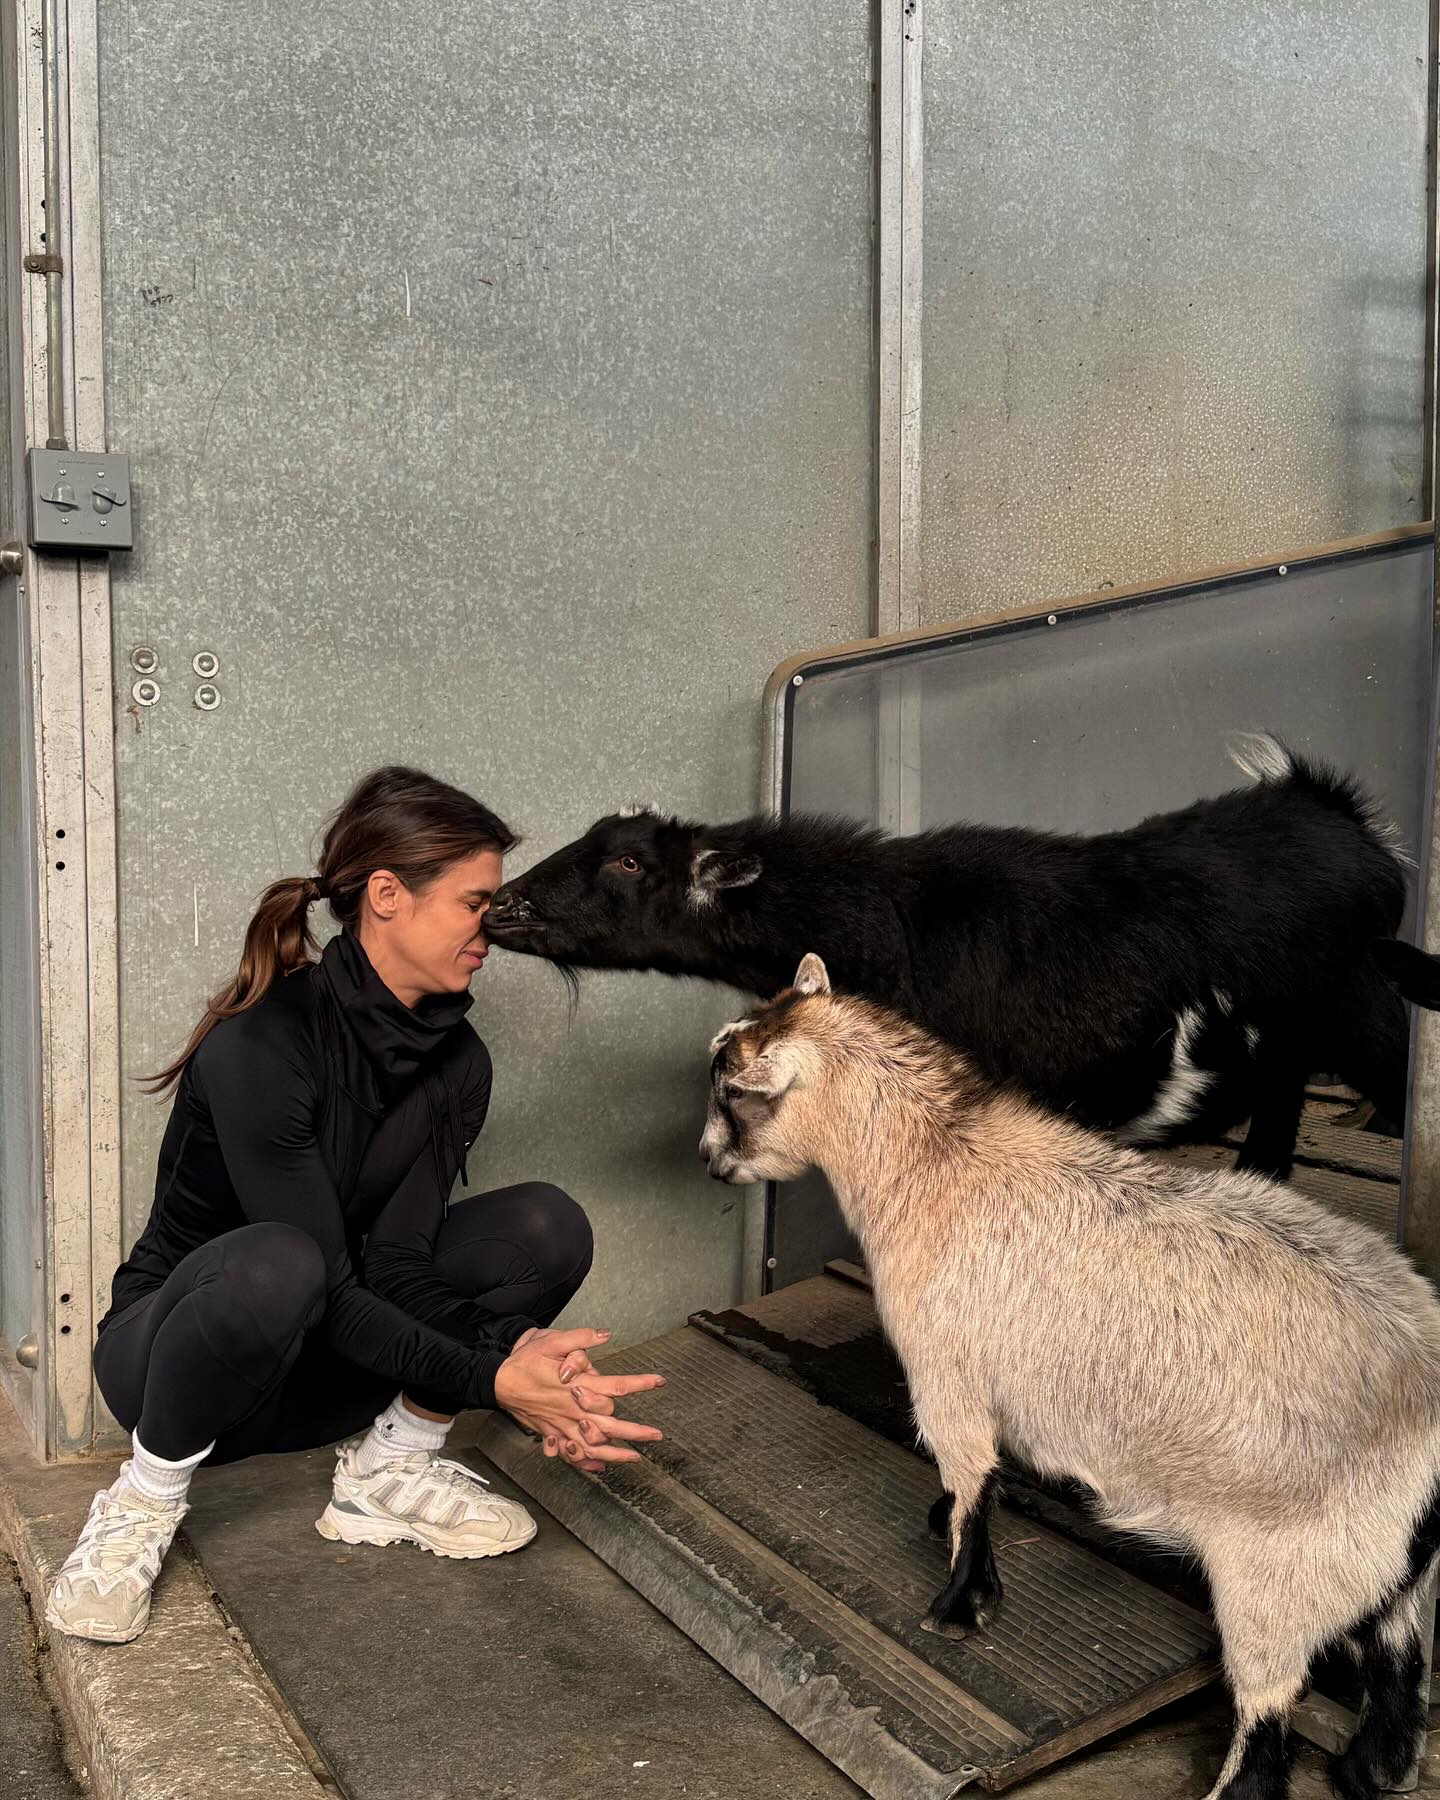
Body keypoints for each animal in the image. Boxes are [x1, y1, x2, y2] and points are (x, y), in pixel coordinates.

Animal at [702, 957, 1440, 1800]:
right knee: (1398, 1664)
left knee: (1270, 1713)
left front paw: (960, 1602)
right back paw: (1371, 1767)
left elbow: (972, 1480)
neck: (935, 1167)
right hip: (1381, 1560)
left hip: (1285, 1567)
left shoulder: (946, 1374)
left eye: (733, 1094)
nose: (708, 1160)